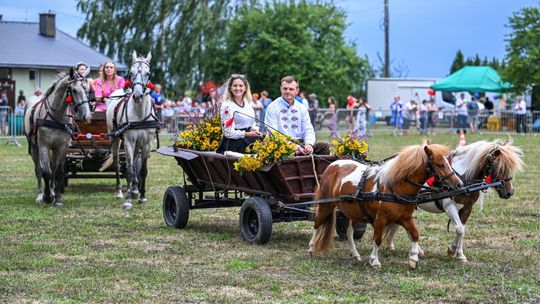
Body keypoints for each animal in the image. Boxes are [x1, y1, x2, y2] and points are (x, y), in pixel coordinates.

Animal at [24, 68, 92, 207]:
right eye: (74, 90)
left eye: (87, 89)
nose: (87, 116)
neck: (56, 116)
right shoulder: (44, 146)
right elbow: (46, 172)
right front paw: (47, 197)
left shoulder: (62, 147)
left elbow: (59, 172)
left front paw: (57, 197)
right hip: (34, 147)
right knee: (39, 170)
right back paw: (40, 195)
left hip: (54, 149)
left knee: (54, 168)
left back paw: (52, 190)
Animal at [104, 51, 157, 210]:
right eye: (131, 73)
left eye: (148, 73)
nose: (138, 95)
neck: (139, 114)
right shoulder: (128, 141)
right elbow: (129, 170)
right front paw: (127, 200)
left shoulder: (146, 143)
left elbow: (142, 170)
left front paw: (142, 196)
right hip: (115, 138)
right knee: (117, 163)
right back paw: (120, 192)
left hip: (137, 144)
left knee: (134, 161)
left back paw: (134, 190)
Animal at [310, 141, 462, 268]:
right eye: (440, 164)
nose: (459, 184)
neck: (394, 188)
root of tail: (332, 165)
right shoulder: (380, 219)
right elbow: (377, 239)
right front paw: (374, 260)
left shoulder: (405, 218)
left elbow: (414, 234)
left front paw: (413, 257)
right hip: (326, 205)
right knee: (317, 223)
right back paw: (311, 247)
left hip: (353, 212)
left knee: (349, 232)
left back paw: (354, 254)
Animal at [386, 139, 524, 262]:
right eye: (499, 167)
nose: (509, 192)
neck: (463, 179)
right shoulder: (450, 208)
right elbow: (459, 229)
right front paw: (452, 250)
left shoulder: (467, 208)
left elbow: (462, 230)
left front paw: (459, 254)